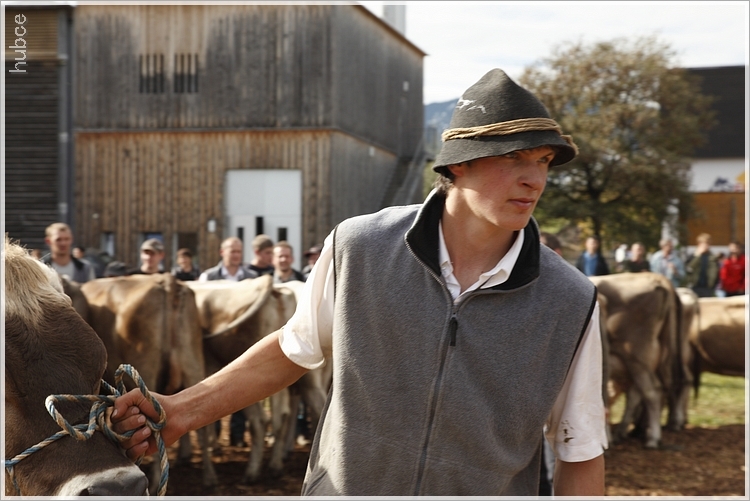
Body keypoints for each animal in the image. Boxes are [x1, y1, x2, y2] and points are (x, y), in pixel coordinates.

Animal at [80, 274, 217, 493]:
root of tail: (167, 280)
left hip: (147, 369)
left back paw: (154, 480)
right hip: (193, 363)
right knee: (202, 425)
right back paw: (209, 477)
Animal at [591, 272, 685, 449]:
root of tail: (656, 278)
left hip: (637, 359)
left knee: (651, 392)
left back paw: (652, 438)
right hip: (655, 359)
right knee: (653, 389)